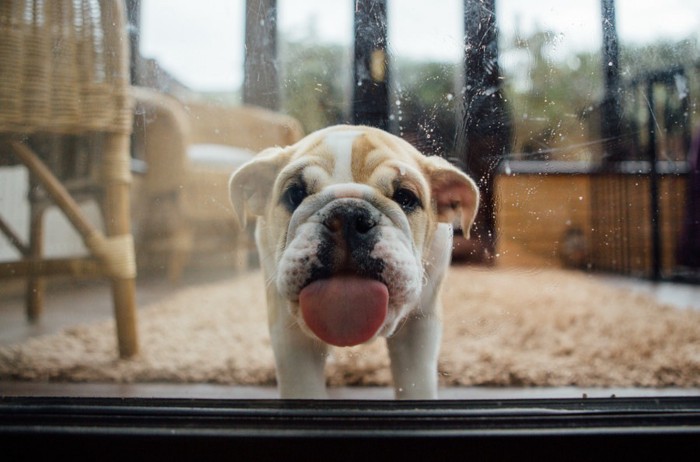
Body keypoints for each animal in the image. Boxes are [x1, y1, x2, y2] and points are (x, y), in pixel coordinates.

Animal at [227, 124, 478, 398]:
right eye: (295, 194)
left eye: (405, 197)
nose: (347, 214)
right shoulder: (289, 332)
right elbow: (303, 387)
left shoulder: (420, 325)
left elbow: (416, 382)